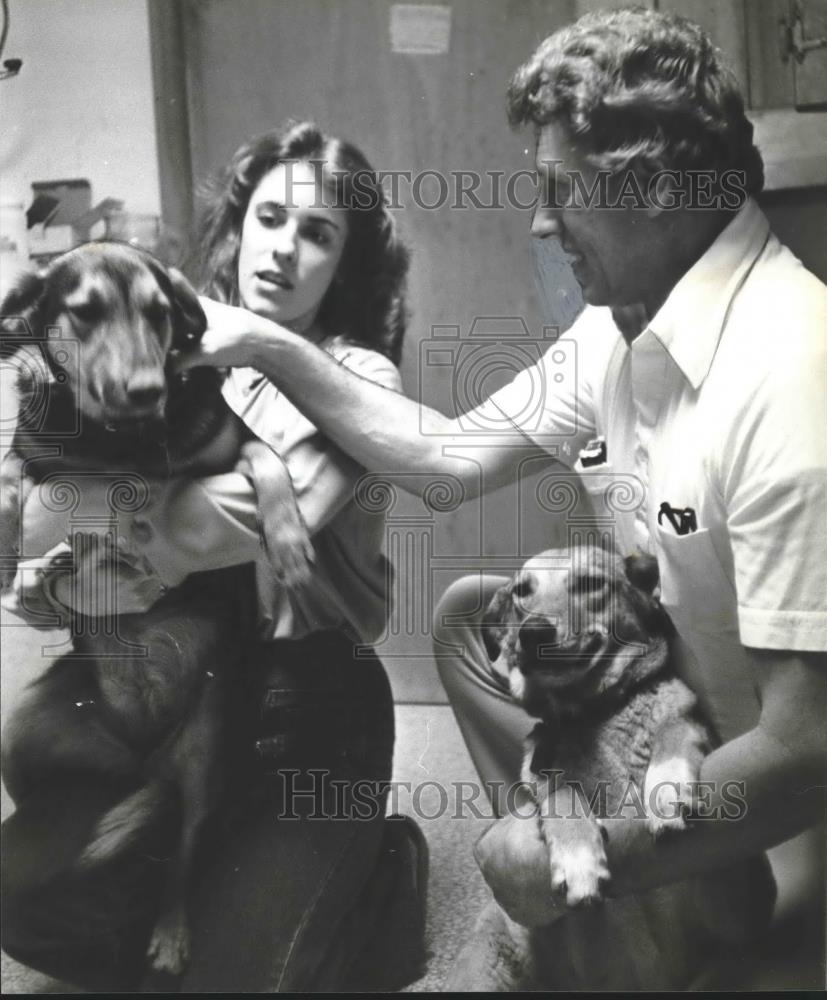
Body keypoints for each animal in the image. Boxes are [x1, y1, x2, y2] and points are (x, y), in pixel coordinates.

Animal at [0, 244, 310, 976]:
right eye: (83, 313)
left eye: (160, 312)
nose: (145, 391)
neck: (118, 441)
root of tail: (141, 760)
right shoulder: (36, 452)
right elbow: (10, 474)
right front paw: (19, 554)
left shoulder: (232, 441)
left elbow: (268, 459)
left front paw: (287, 542)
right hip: (20, 735)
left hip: (204, 757)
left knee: (184, 858)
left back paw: (169, 931)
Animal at [446, 548, 776, 992]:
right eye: (521, 592)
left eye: (590, 583)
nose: (533, 631)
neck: (590, 715)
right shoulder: (545, 776)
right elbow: (561, 793)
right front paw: (578, 859)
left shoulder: (742, 910)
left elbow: (674, 728)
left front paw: (667, 789)